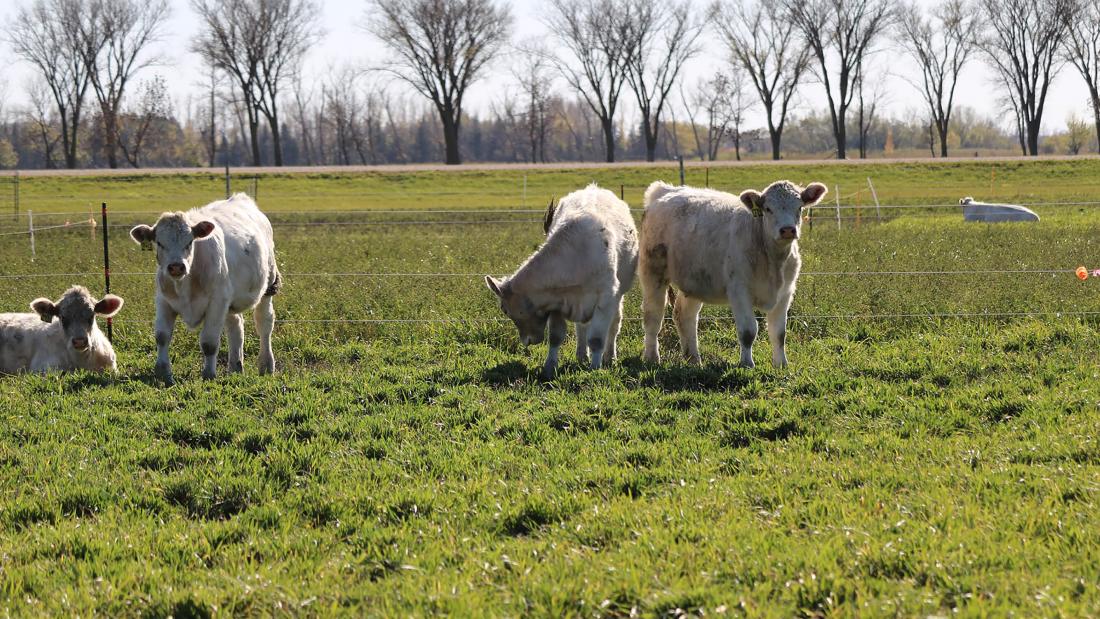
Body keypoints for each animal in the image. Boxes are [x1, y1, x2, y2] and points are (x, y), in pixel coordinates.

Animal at [129, 193, 280, 385]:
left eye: (189, 242)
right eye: (160, 243)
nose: (176, 266)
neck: (185, 284)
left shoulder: (216, 302)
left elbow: (209, 342)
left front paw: (208, 374)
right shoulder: (163, 301)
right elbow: (162, 336)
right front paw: (163, 372)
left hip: (268, 286)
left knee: (264, 323)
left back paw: (266, 365)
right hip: (228, 300)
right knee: (235, 326)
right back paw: (235, 367)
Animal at [486, 184, 638, 379]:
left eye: (504, 309)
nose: (526, 341)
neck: (575, 257)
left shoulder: (605, 299)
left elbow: (597, 339)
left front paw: (595, 368)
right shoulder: (558, 303)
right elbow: (556, 337)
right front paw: (550, 367)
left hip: (619, 295)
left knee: (614, 325)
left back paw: (609, 357)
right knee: (582, 328)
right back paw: (581, 356)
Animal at [639, 180, 827, 368]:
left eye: (799, 207)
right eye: (768, 209)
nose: (787, 230)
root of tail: (665, 190)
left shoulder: (785, 292)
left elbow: (779, 333)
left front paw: (781, 365)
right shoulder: (739, 290)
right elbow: (748, 331)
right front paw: (746, 363)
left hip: (693, 282)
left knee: (684, 315)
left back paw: (693, 359)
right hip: (653, 271)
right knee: (653, 315)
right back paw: (652, 357)